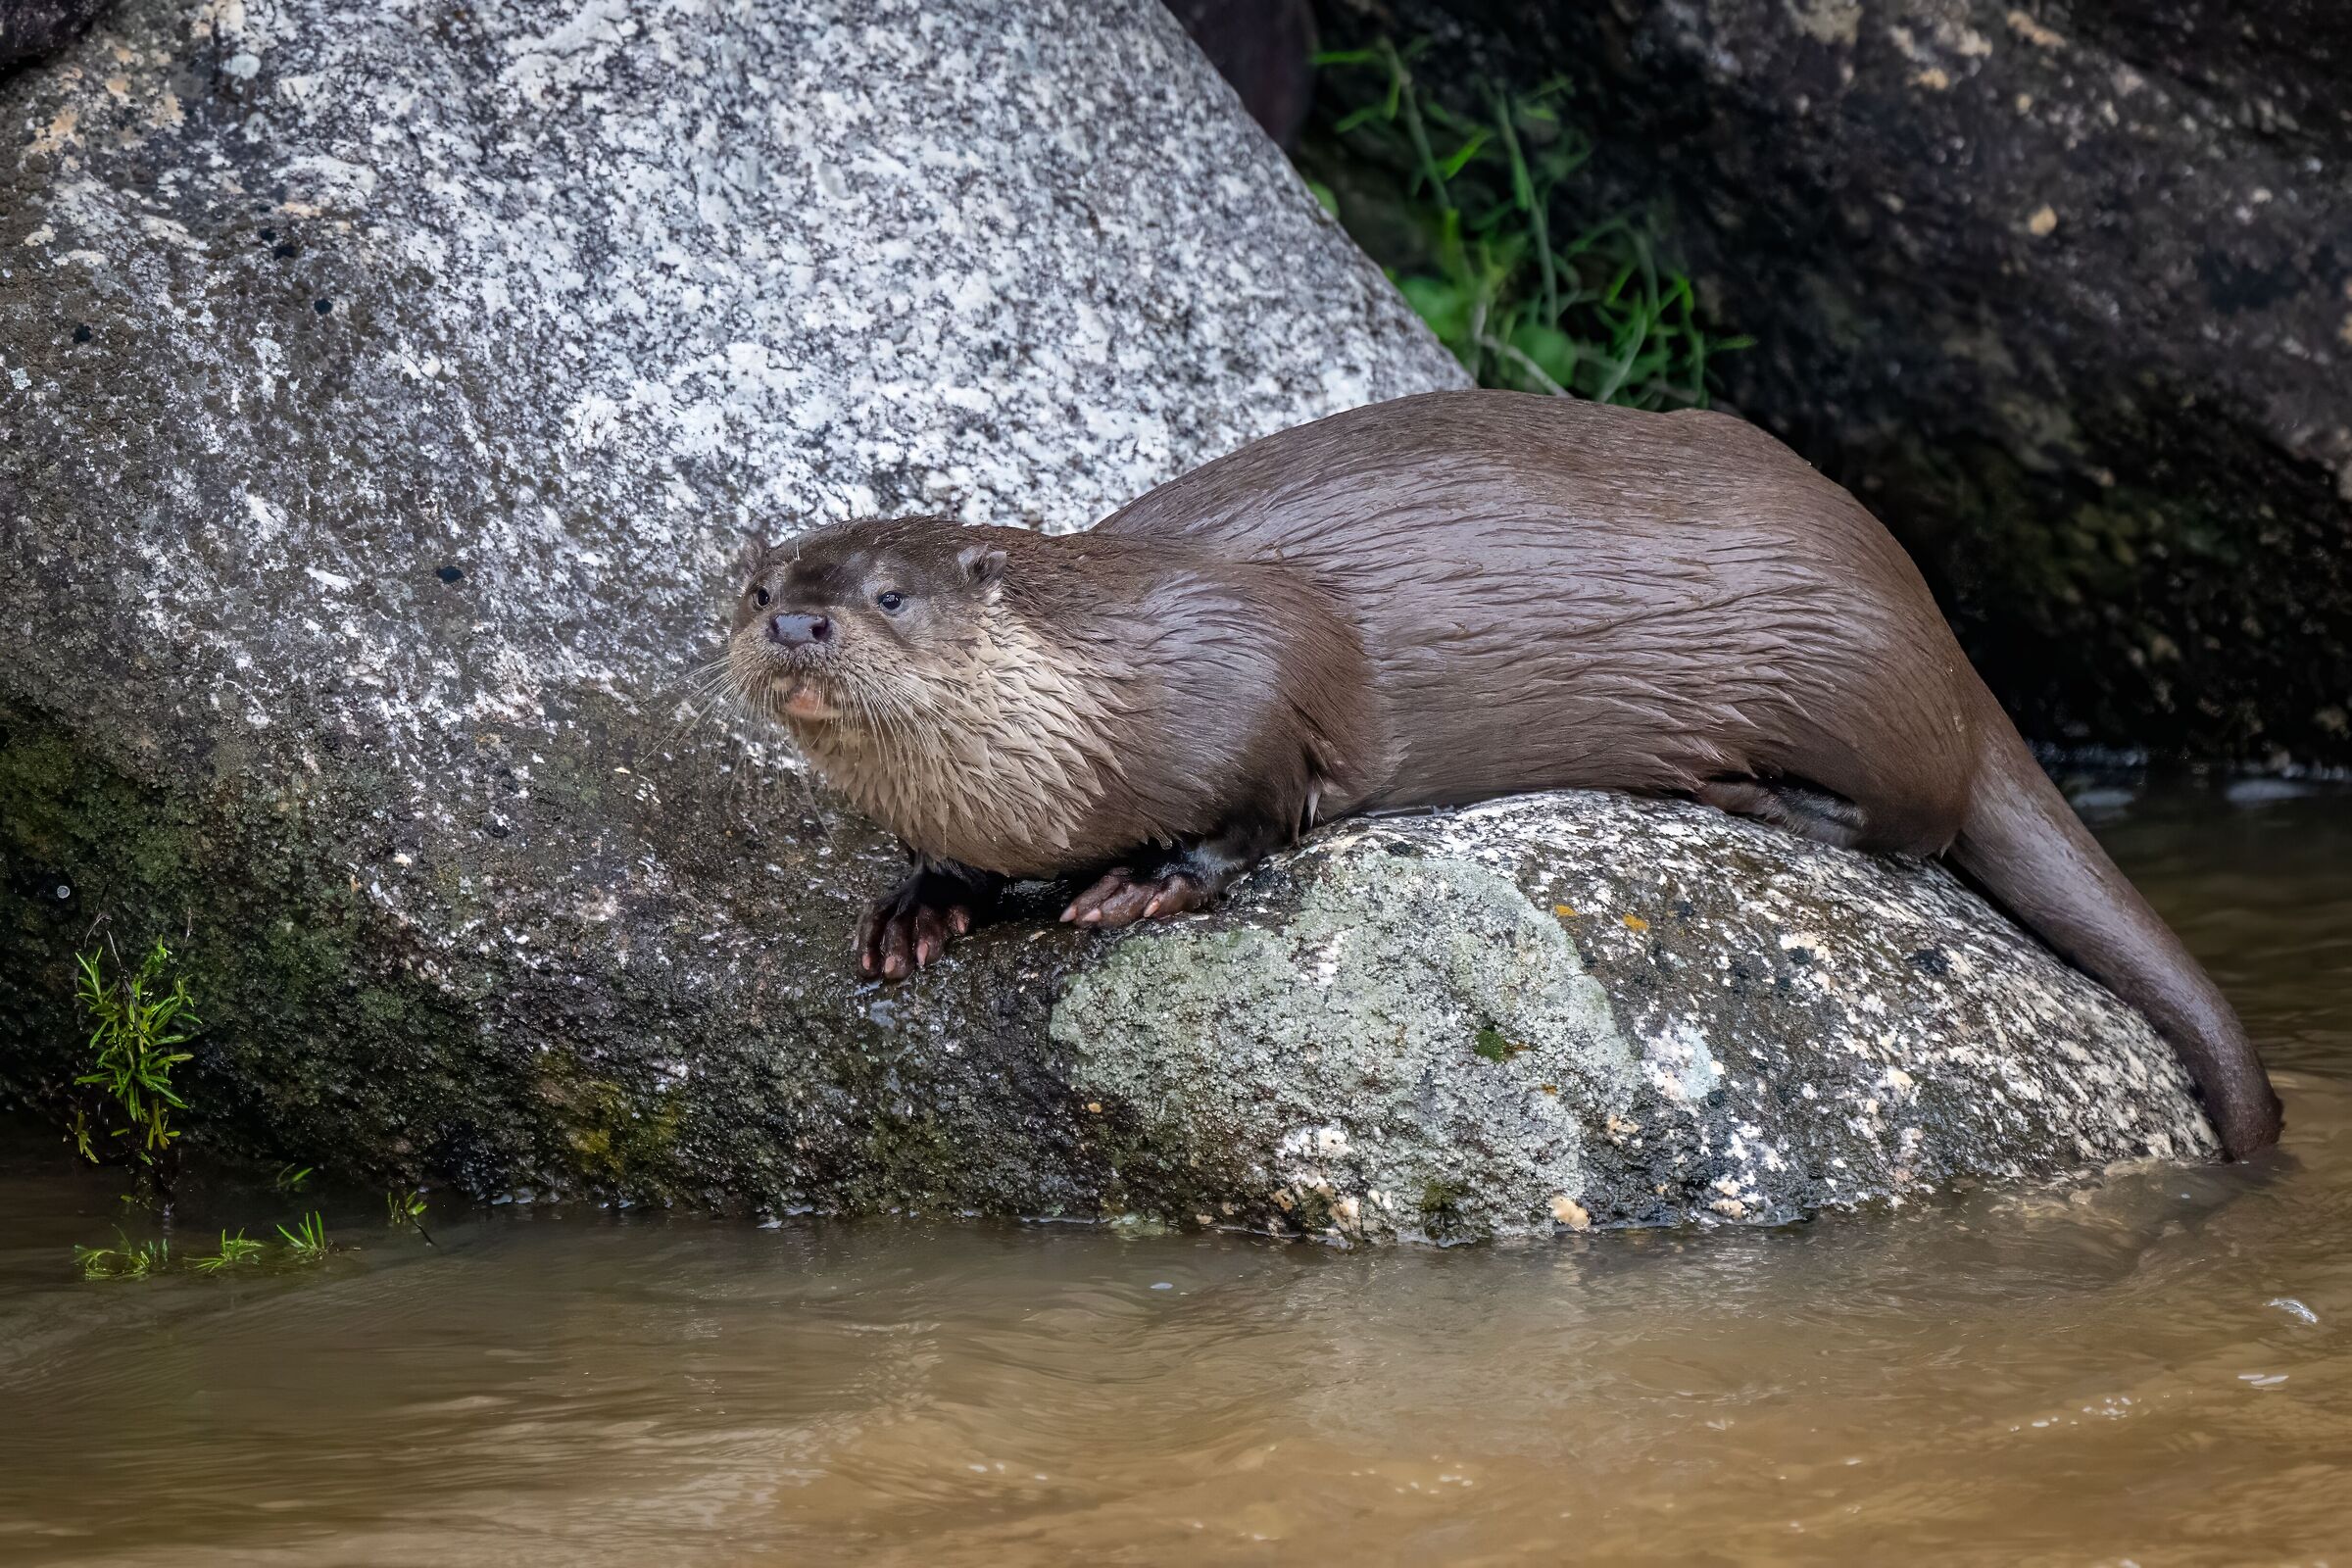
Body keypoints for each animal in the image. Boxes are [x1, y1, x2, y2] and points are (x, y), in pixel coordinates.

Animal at [727, 390, 2282, 1159]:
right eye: (757, 585)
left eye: (887, 595)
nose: (794, 624)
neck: (1100, 690)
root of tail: (1928, 611)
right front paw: (918, 905)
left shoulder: (1248, 680)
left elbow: (1255, 810)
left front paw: (1144, 884)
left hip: (1843, 658)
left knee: (1921, 809)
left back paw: (1749, 793)